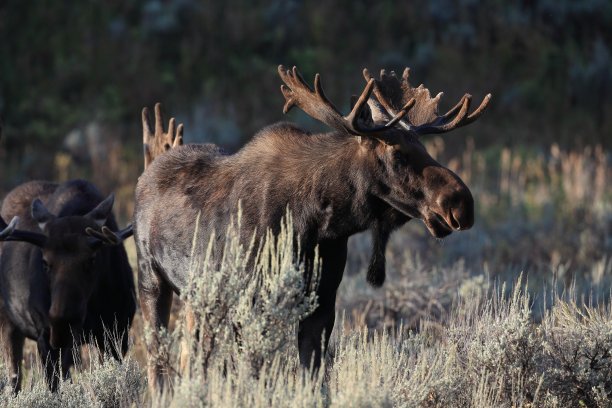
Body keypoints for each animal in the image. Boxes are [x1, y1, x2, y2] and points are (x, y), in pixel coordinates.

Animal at [0, 180, 135, 390]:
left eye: (92, 259)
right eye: (45, 262)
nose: (62, 325)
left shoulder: (117, 333)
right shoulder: (45, 337)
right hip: (8, 322)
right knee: (14, 377)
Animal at [135, 64, 492, 388]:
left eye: (424, 148)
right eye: (398, 155)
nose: (461, 202)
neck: (318, 225)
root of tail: (147, 170)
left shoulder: (322, 303)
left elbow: (313, 378)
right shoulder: (247, 305)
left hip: (196, 297)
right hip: (151, 279)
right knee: (157, 363)